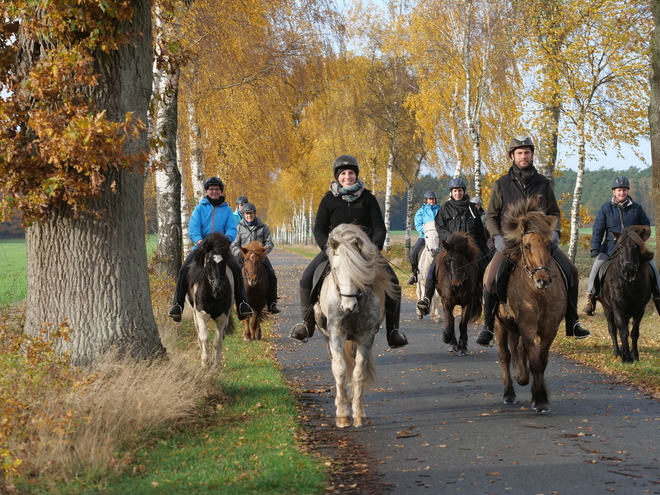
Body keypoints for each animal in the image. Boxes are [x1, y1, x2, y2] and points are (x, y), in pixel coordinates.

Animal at [187, 232, 233, 368]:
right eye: (207, 263)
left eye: (224, 263)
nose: (218, 290)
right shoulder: (201, 315)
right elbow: (204, 338)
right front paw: (205, 363)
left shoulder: (222, 317)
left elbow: (217, 341)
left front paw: (216, 365)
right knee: (199, 335)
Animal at [314, 225, 398, 430]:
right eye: (335, 269)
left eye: (360, 270)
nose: (348, 306)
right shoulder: (336, 334)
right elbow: (339, 370)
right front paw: (343, 416)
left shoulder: (366, 337)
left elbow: (358, 372)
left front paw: (358, 414)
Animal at [490, 198, 568, 414]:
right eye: (526, 246)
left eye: (550, 245)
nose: (543, 280)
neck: (540, 294)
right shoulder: (527, 325)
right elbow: (533, 360)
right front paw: (540, 399)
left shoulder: (550, 328)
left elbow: (541, 361)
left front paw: (537, 394)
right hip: (500, 325)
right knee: (505, 355)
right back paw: (509, 393)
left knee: (519, 350)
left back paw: (522, 378)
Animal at [600, 227, 656, 362]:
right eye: (620, 247)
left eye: (636, 246)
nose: (628, 271)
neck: (629, 284)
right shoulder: (618, 307)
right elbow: (623, 331)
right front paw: (626, 358)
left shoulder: (639, 309)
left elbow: (634, 332)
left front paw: (634, 355)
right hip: (607, 309)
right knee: (613, 330)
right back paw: (617, 352)